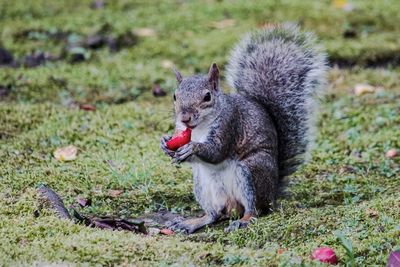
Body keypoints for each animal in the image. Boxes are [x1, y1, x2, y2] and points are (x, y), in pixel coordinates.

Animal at [160, 24, 328, 234]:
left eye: (207, 97)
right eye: (175, 96)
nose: (184, 118)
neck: (200, 127)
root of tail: (272, 194)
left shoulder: (230, 124)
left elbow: (217, 151)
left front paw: (192, 147)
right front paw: (165, 144)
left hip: (251, 171)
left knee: (254, 210)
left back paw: (243, 220)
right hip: (202, 183)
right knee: (214, 214)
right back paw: (193, 222)